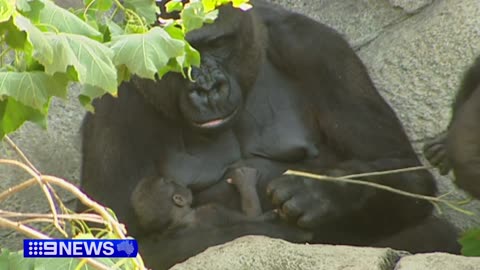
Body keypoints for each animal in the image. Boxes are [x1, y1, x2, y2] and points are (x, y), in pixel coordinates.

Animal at [80, 1, 460, 268]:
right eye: (179, 56)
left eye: (218, 43)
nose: (207, 88)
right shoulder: (114, 98)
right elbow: (115, 241)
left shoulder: (314, 46)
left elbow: (402, 169)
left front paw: (320, 194)